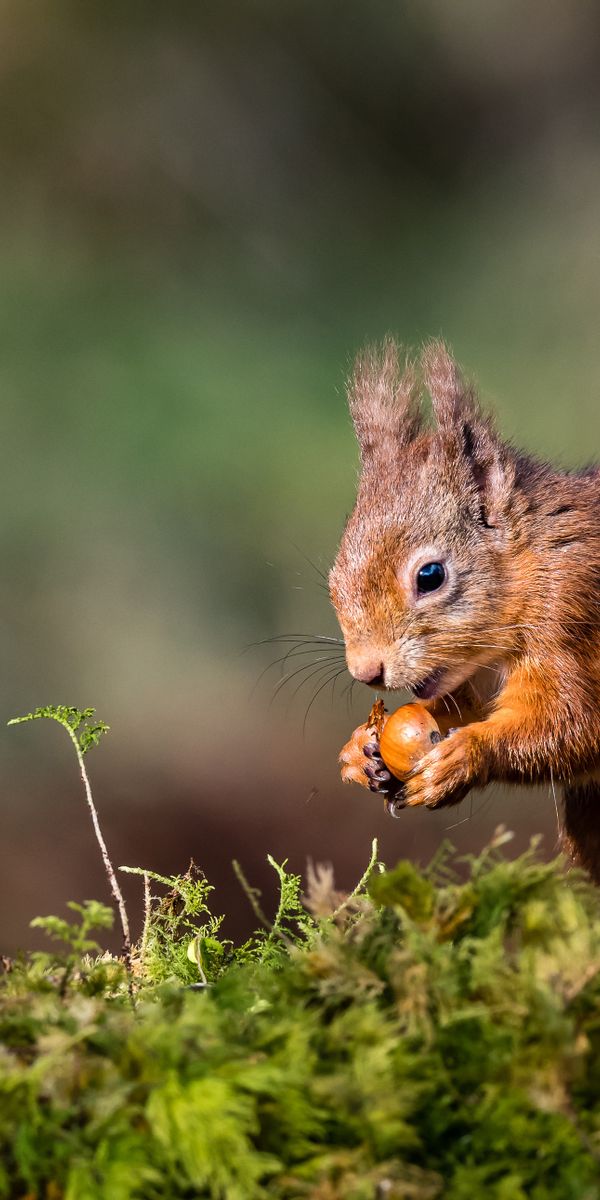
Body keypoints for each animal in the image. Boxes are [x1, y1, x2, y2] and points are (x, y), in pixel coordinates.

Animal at [331, 338, 600, 883]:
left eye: (430, 576)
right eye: (332, 580)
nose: (366, 672)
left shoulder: (571, 612)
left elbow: (573, 723)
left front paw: (466, 756)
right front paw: (359, 752)